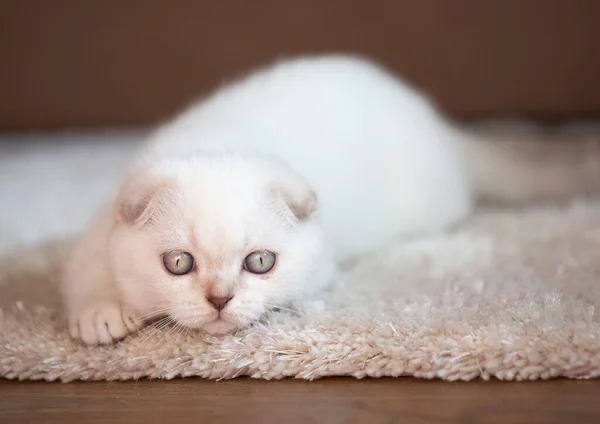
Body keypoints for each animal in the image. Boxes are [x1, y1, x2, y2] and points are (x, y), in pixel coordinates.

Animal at [62, 53, 600, 344]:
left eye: (260, 261)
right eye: (178, 263)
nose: (219, 300)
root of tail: (441, 129)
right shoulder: (101, 229)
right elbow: (85, 273)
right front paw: (101, 313)